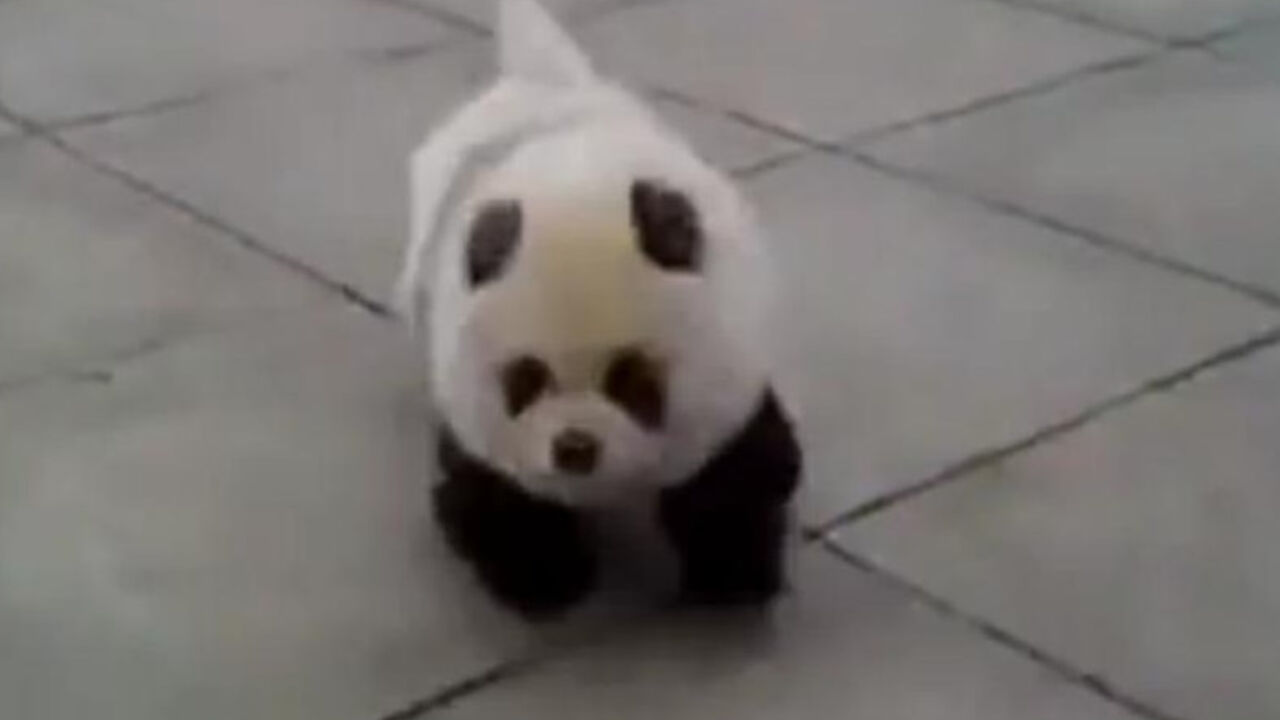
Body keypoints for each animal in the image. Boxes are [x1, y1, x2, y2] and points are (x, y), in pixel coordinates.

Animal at [395, 0, 802, 618]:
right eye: (526, 379)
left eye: (631, 380)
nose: (575, 449)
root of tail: (546, 79)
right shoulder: (470, 393)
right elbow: (491, 495)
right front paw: (543, 583)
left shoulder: (730, 358)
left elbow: (740, 473)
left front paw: (732, 579)